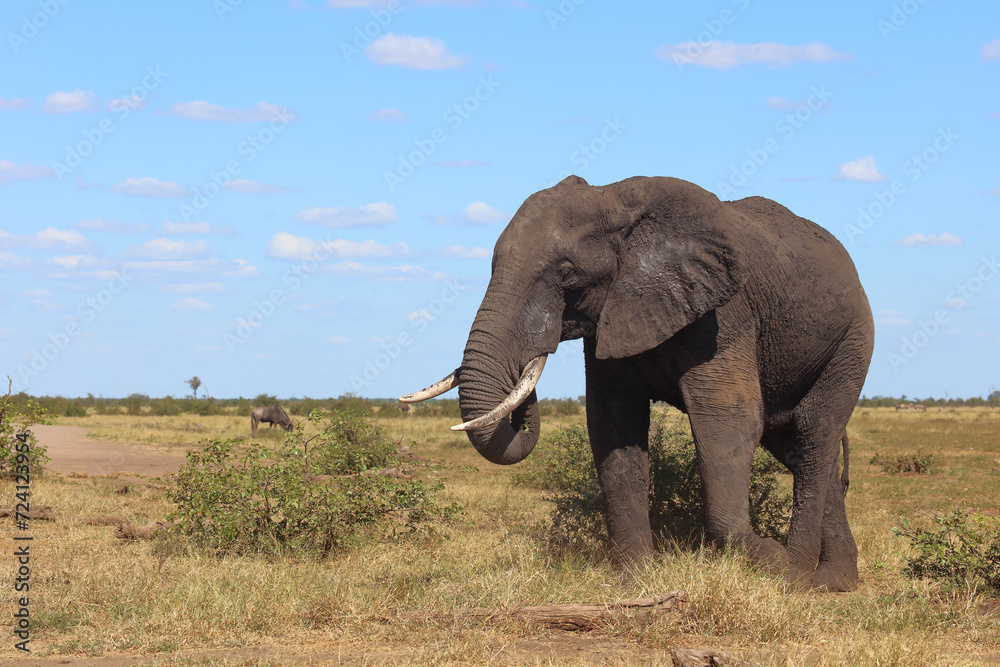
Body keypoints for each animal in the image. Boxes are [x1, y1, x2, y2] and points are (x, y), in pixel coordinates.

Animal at [400, 175, 874, 591]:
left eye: (567, 273)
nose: (529, 363)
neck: (613, 202)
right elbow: (614, 428)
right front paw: (635, 582)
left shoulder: (725, 315)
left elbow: (729, 422)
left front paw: (772, 563)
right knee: (796, 446)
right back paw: (834, 581)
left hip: (852, 341)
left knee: (813, 435)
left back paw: (800, 578)